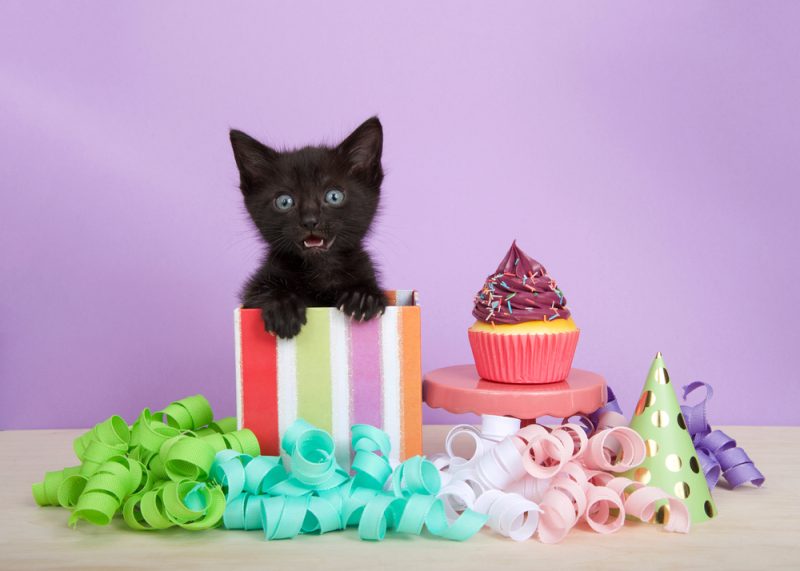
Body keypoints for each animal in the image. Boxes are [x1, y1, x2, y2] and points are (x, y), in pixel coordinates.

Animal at [228, 116, 388, 340]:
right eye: (284, 202)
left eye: (334, 196)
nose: (310, 221)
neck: (320, 270)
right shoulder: (255, 287)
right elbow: (258, 293)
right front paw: (282, 306)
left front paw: (363, 297)